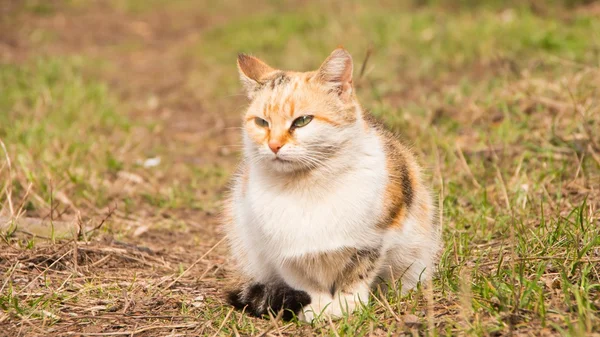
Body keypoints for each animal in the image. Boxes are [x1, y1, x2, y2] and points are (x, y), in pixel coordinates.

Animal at [224, 47, 440, 320]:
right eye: (261, 122)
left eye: (302, 121)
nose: (273, 145)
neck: (306, 187)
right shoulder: (279, 250)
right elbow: (303, 281)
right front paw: (317, 307)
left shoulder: (376, 236)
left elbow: (358, 271)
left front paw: (349, 304)